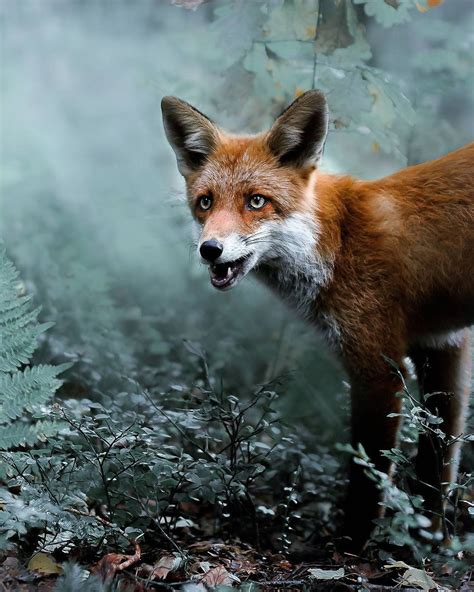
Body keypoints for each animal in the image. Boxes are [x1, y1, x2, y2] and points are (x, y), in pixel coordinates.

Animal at [160, 90, 474, 548]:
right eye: (206, 202)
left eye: (256, 201)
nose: (209, 249)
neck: (338, 241)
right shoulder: (444, 343)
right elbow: (438, 464)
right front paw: (428, 541)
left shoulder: (378, 368)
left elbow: (368, 478)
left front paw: (353, 547)